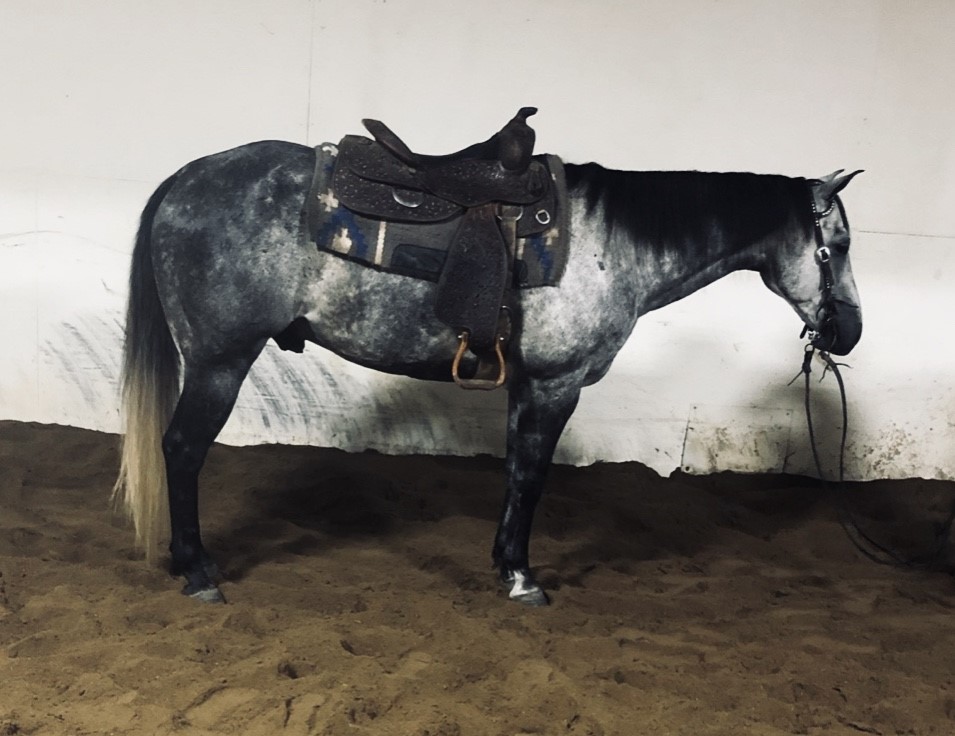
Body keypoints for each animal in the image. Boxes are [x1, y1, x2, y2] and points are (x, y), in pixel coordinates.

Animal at [113, 125, 863, 606]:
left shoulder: (526, 385)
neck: (612, 244)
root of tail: (186, 178)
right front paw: (524, 580)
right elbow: (531, 478)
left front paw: (506, 563)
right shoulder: (556, 384)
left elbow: (514, 475)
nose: (849, 331)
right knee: (182, 450)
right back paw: (199, 571)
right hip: (219, 362)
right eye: (839, 244)